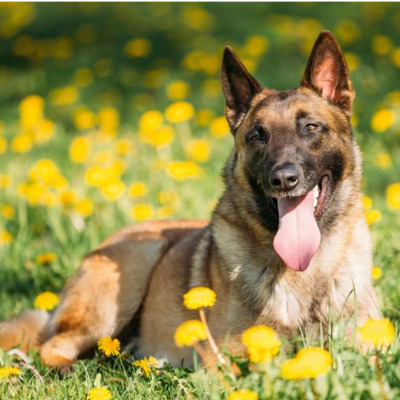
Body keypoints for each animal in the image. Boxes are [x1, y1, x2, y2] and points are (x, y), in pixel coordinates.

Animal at [0, 31, 382, 368]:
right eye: (258, 135)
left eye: (311, 128)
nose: (283, 179)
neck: (306, 270)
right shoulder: (220, 356)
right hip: (129, 275)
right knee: (52, 346)